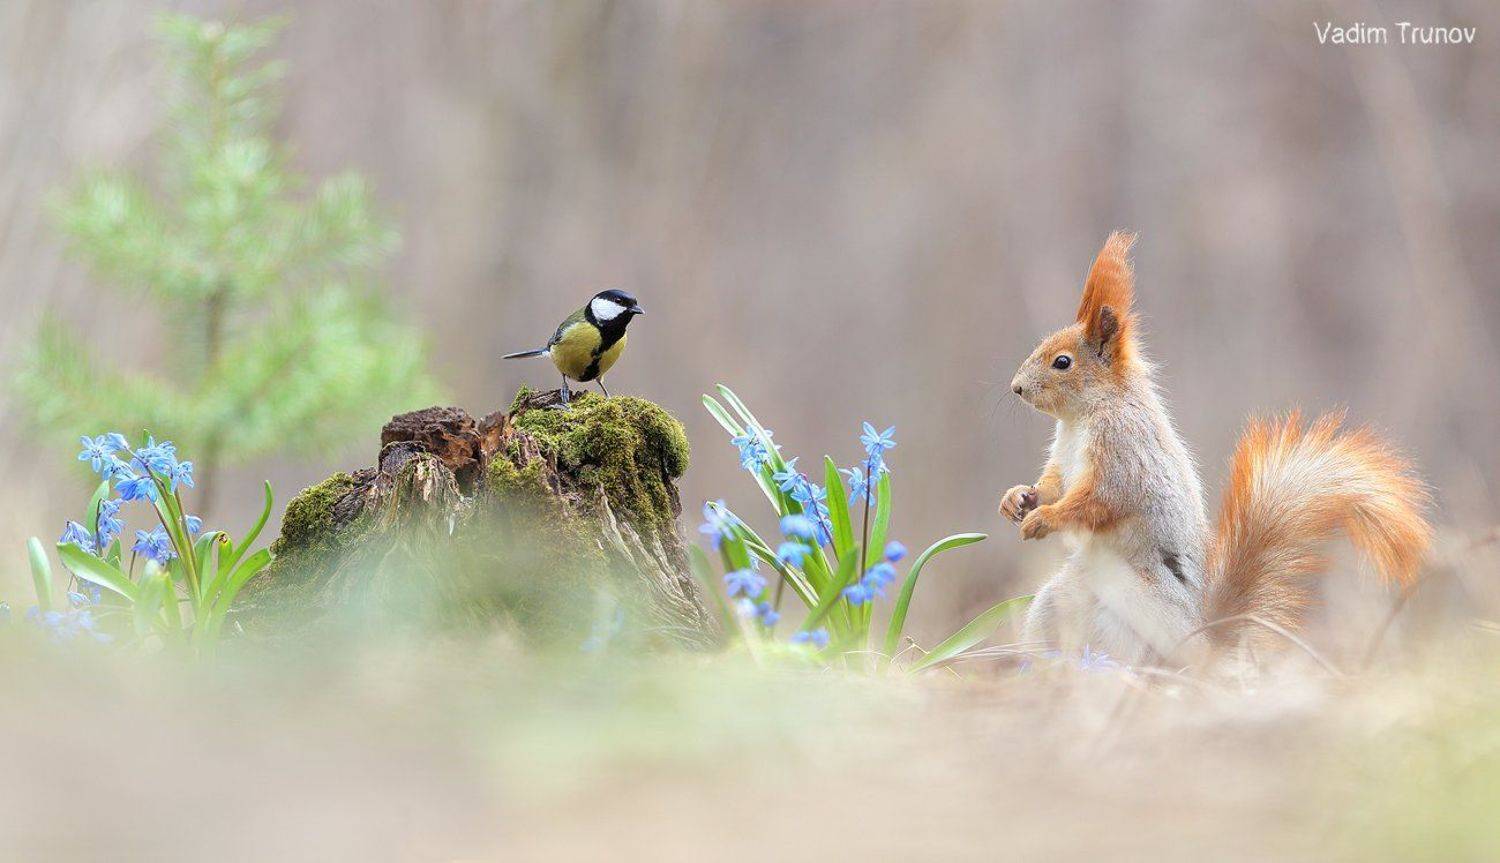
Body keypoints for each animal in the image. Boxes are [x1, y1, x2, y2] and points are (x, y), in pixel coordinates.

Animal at [1001, 231, 1431, 666]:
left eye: (1062, 362)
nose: (1016, 388)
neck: (1082, 417)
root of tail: (1205, 642)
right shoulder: (1063, 455)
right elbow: (1053, 483)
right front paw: (1017, 498)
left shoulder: (1125, 453)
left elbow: (1097, 499)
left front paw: (1043, 519)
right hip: (1059, 601)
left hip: (1136, 612)